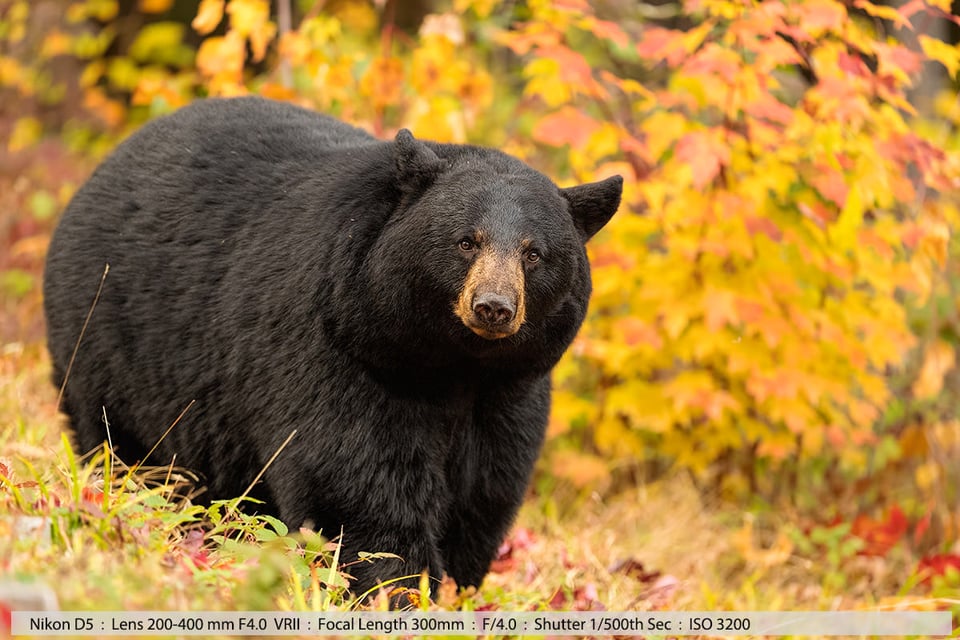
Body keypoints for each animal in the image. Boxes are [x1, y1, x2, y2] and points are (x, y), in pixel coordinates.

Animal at [45, 97, 628, 596]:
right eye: (467, 241)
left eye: (534, 253)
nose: (493, 307)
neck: (452, 364)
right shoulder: (338, 350)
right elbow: (353, 479)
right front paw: (396, 587)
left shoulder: (509, 390)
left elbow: (484, 489)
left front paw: (454, 589)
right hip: (107, 344)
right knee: (118, 443)